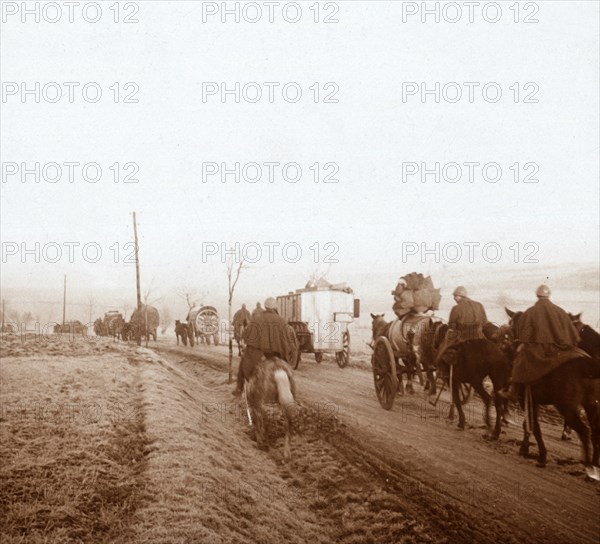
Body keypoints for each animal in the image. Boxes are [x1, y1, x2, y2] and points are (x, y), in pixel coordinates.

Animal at [506, 308, 600, 474]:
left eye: (511, 328)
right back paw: (594, 465)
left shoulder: (526, 400)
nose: (508, 348)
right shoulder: (532, 401)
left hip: (567, 408)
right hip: (591, 405)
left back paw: (588, 465)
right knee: (595, 432)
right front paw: (525, 448)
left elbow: (534, 426)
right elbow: (528, 424)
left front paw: (541, 456)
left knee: (584, 431)